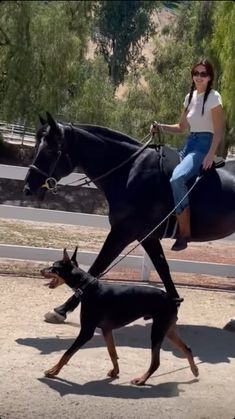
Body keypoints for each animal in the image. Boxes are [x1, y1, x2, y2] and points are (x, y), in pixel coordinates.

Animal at [23, 111, 235, 318]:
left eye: (50, 150)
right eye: (37, 145)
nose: (28, 188)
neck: (130, 171)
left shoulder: (122, 233)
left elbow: (97, 266)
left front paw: (62, 309)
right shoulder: (147, 236)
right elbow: (163, 269)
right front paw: (173, 304)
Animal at [41, 248, 199, 386]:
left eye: (53, 267)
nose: (41, 270)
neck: (88, 287)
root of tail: (172, 299)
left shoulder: (86, 332)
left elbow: (67, 353)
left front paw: (54, 371)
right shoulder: (107, 330)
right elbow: (112, 352)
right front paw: (115, 371)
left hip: (157, 330)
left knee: (156, 362)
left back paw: (142, 380)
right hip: (167, 329)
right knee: (187, 348)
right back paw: (195, 370)